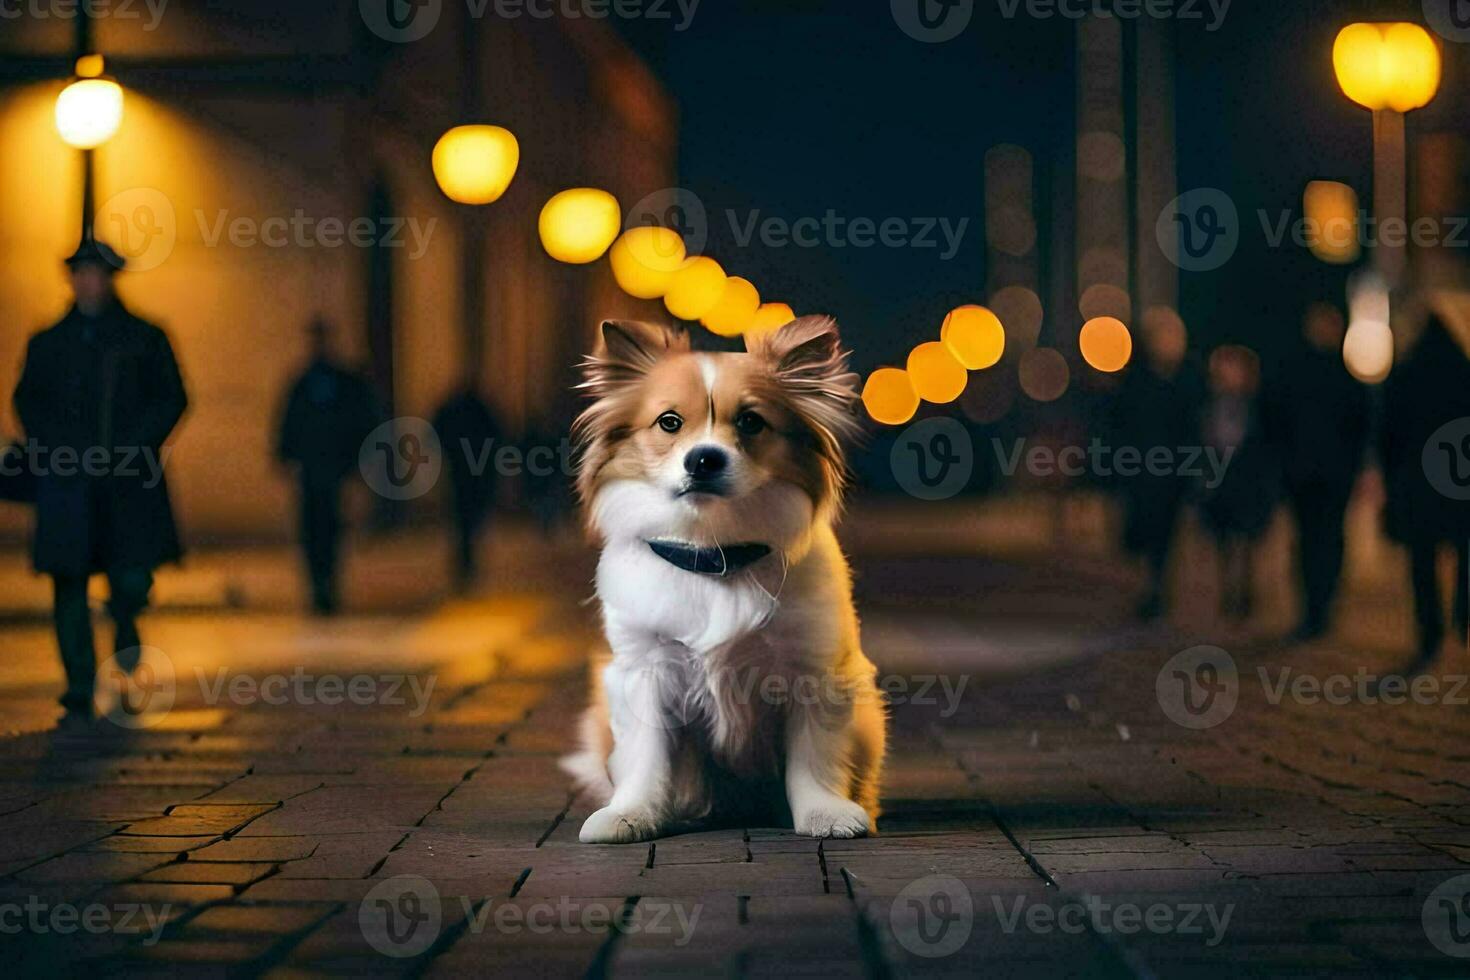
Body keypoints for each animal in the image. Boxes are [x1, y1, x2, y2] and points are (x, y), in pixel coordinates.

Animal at [558, 314, 882, 846]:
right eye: (669, 422)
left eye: (751, 421)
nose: (703, 459)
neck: (714, 551)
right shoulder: (643, 672)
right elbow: (646, 757)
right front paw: (631, 813)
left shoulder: (816, 675)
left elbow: (815, 756)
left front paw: (825, 812)